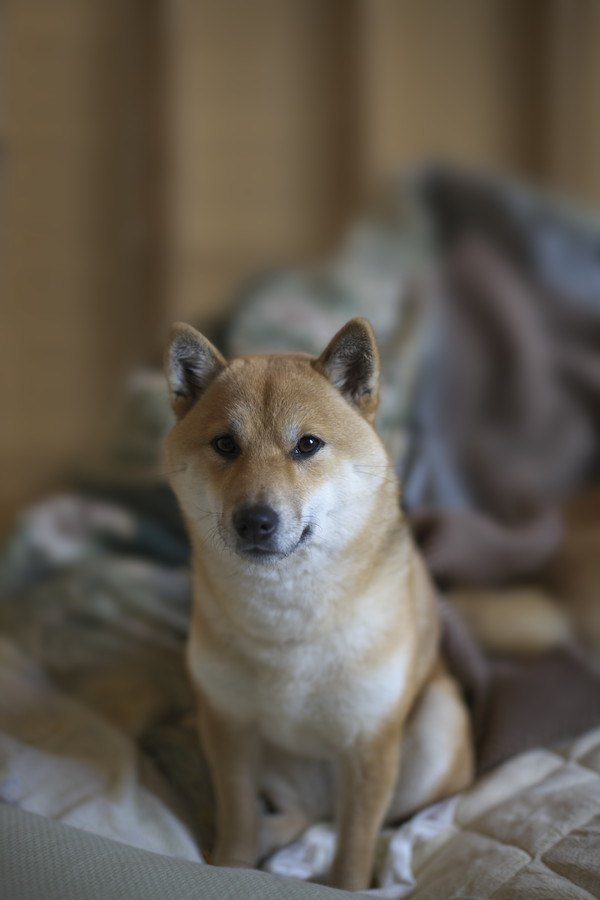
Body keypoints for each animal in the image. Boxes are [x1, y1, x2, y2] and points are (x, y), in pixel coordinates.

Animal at [163, 320, 474, 888]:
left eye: (307, 445)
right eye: (225, 444)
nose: (255, 520)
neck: (286, 617)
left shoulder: (370, 745)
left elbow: (355, 846)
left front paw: (348, 885)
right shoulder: (228, 724)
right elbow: (238, 818)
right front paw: (231, 867)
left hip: (437, 726)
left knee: (367, 822)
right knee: (299, 818)